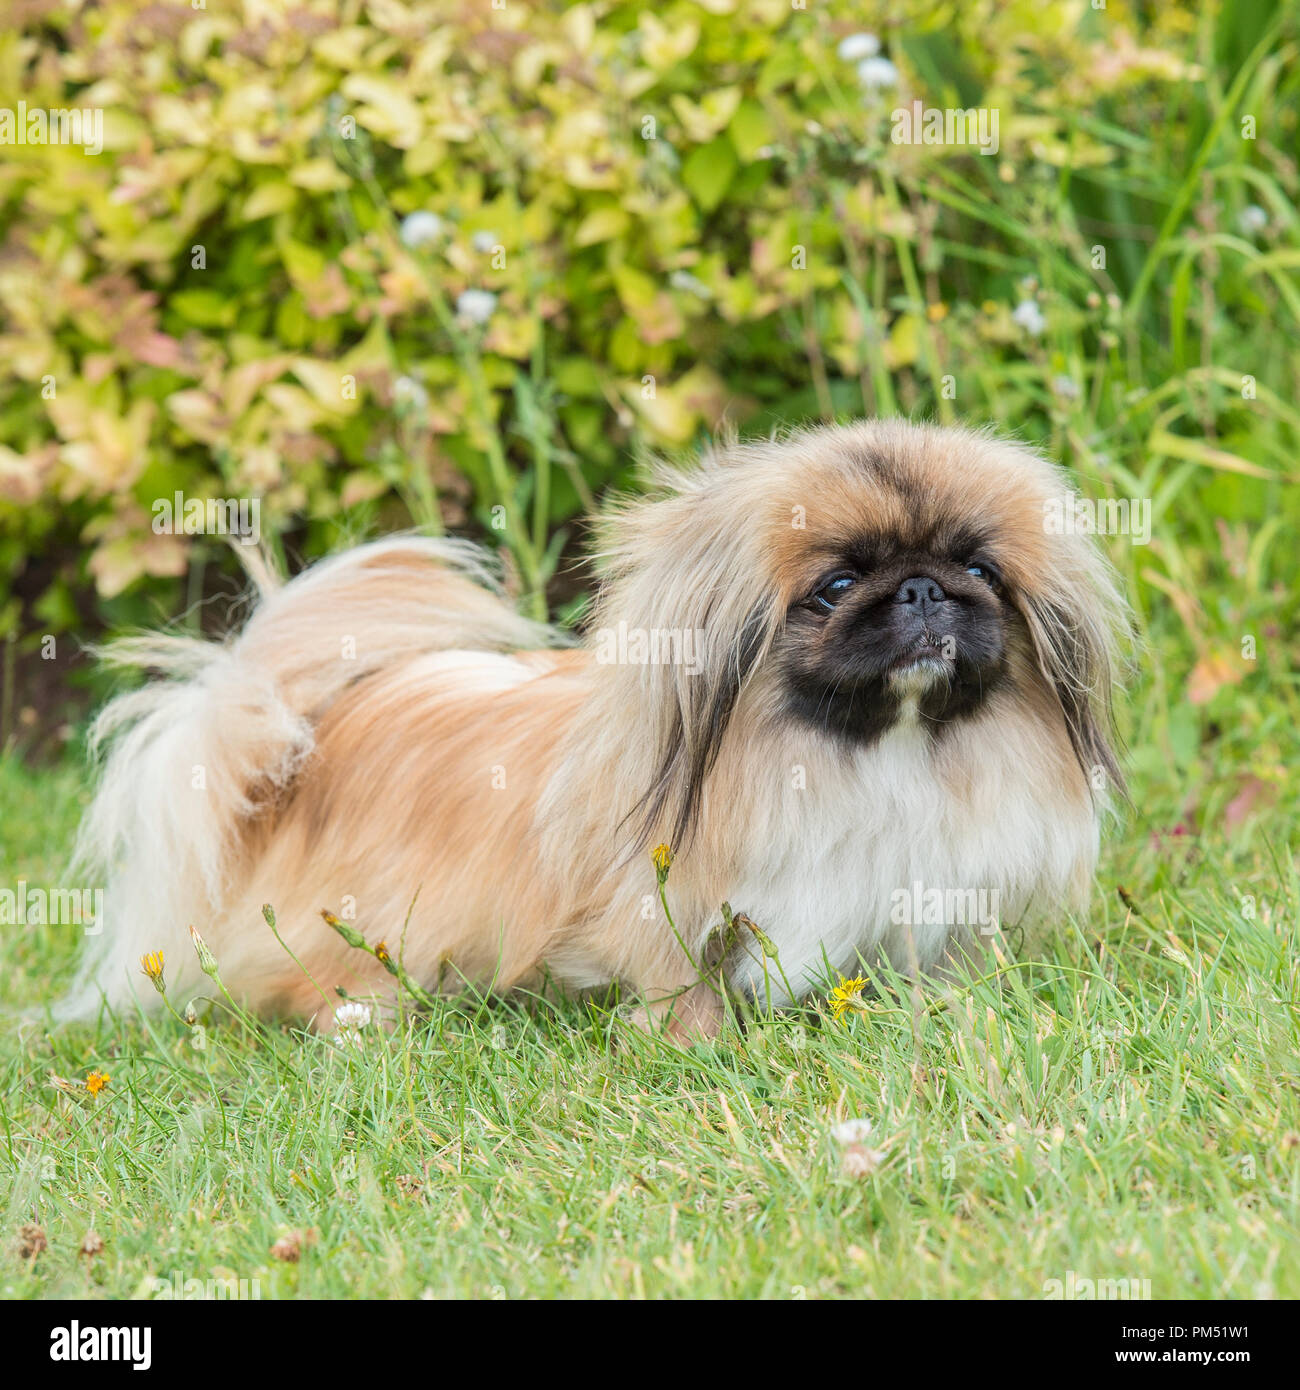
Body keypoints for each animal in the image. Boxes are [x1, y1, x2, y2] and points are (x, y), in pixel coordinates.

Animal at [63, 417, 1128, 1039]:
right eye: (835, 588)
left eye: (979, 570)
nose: (921, 588)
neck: (875, 754)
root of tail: (306, 742)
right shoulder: (667, 912)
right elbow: (681, 988)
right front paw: (697, 1047)